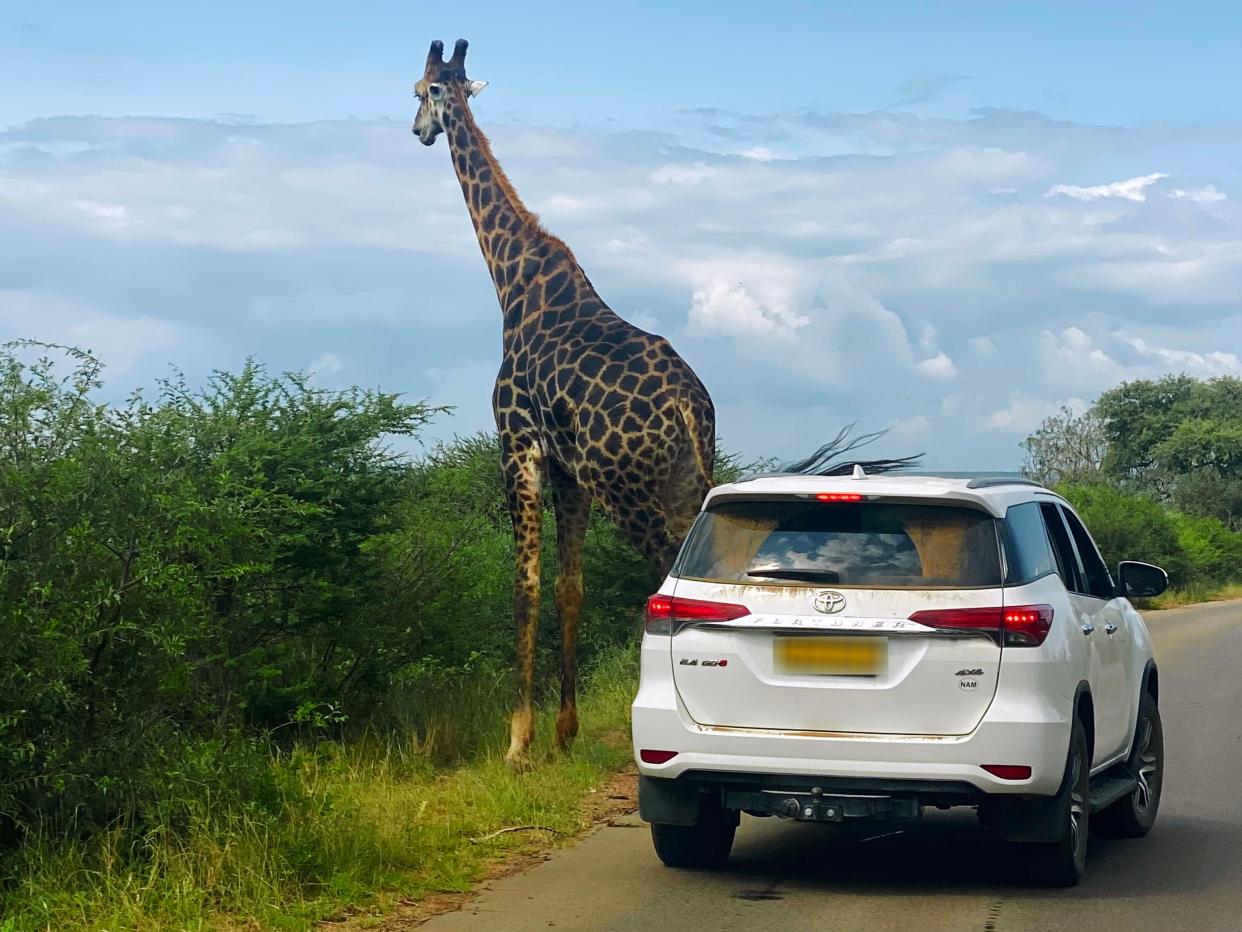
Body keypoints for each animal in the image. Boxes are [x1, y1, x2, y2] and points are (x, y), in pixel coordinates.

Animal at [412, 40, 715, 770]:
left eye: (420, 91)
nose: (417, 131)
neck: (511, 280)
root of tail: (689, 407)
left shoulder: (516, 446)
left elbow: (524, 586)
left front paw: (518, 740)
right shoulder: (569, 471)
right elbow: (569, 589)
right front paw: (563, 730)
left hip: (631, 490)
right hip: (683, 482)